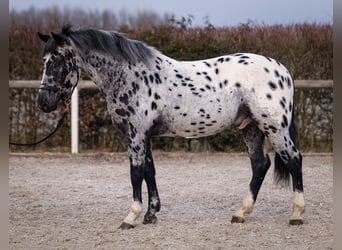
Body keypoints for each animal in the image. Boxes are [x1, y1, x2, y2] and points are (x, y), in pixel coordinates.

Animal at [36, 24, 304, 229]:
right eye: (44, 61)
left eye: (58, 60)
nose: (44, 102)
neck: (130, 75)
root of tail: (282, 70)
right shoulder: (145, 135)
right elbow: (149, 172)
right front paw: (150, 214)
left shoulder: (135, 134)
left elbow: (135, 173)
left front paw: (131, 217)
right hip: (251, 127)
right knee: (260, 165)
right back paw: (240, 212)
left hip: (274, 128)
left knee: (293, 160)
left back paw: (296, 215)